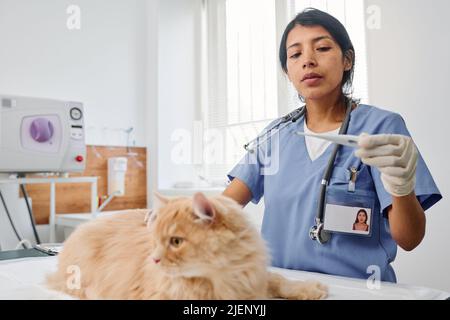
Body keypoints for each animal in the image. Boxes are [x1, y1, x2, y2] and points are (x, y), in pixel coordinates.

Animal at [46, 192, 326, 300]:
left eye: (175, 242)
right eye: (155, 242)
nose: (155, 259)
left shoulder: (253, 277)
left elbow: (280, 281)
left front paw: (311, 289)